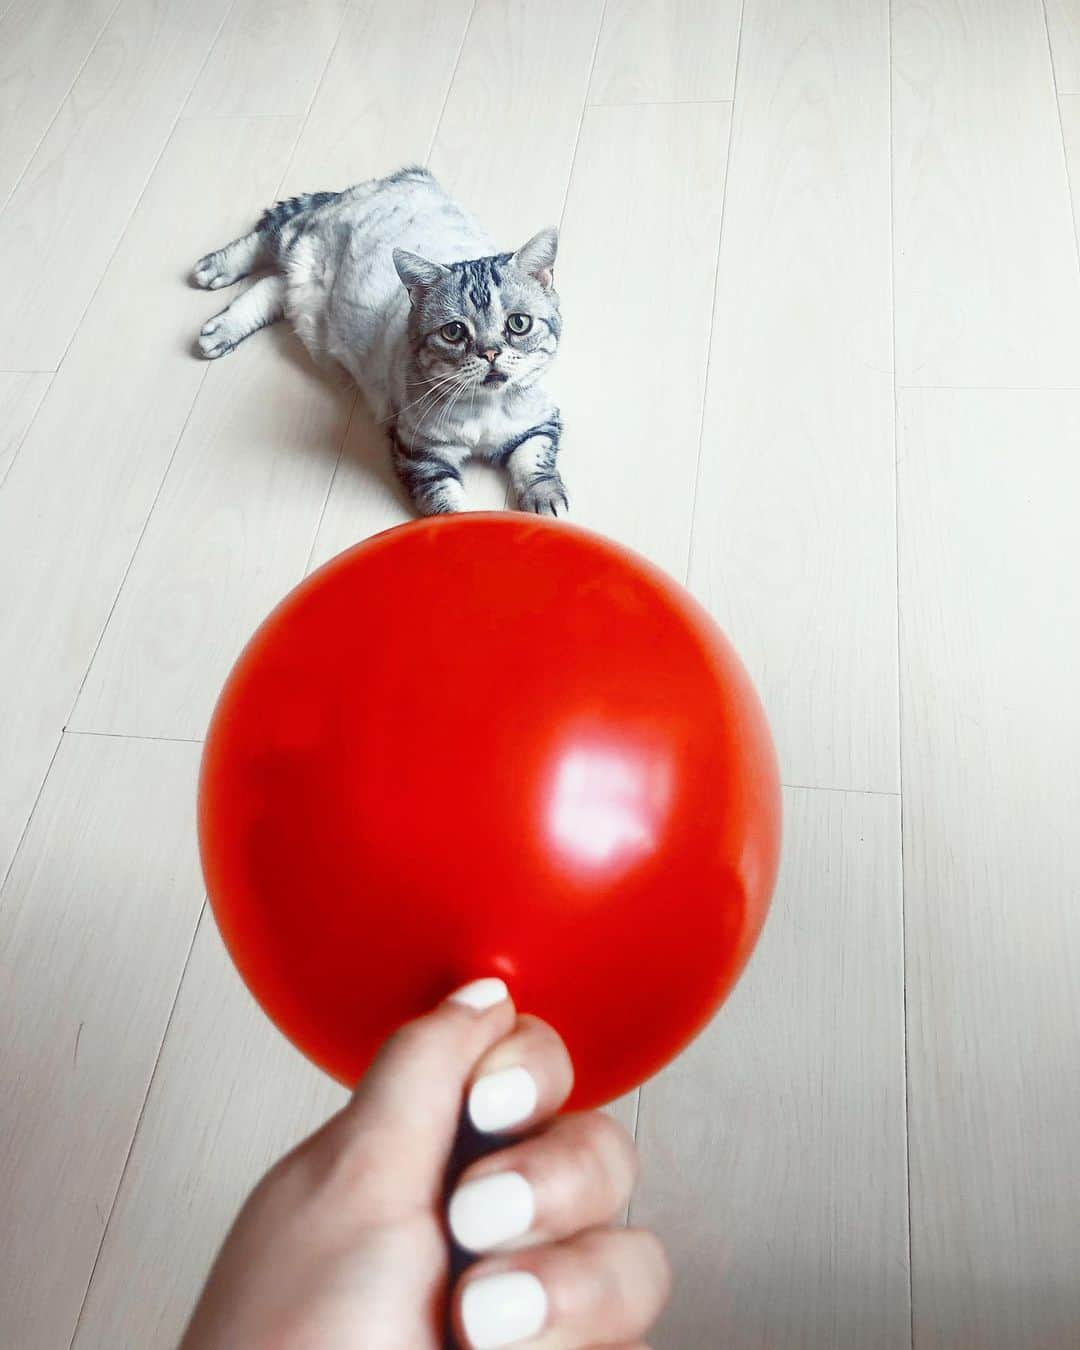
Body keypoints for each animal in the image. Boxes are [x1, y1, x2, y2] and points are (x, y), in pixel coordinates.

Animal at [194, 159, 569, 515]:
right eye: (454, 331)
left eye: (518, 324)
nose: (490, 352)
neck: (485, 411)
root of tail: (405, 177)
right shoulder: (419, 452)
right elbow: (448, 505)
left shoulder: (539, 423)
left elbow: (536, 462)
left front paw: (546, 502)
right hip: (301, 238)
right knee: (266, 239)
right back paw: (214, 272)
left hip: (304, 289)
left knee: (272, 286)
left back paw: (222, 328)